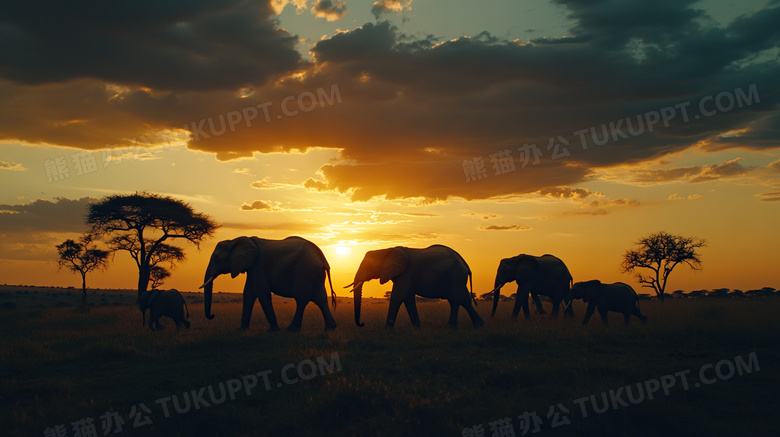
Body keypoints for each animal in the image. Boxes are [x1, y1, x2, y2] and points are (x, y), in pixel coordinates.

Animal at [200, 237, 336, 332]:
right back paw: (330, 328)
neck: (235, 240)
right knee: (320, 299)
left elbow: (262, 293)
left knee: (301, 299)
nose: (212, 315)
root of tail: (323, 260)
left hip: (305, 272)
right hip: (315, 275)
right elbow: (248, 294)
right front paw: (241, 330)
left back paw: (291, 329)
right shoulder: (253, 268)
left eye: (217, 259)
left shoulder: (259, 266)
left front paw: (273, 331)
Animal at [346, 244, 482, 328]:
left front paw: (387, 330)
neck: (386, 250)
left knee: (457, 299)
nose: (362, 324)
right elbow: (408, 299)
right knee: (461, 300)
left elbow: (398, 297)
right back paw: (476, 326)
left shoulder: (406, 273)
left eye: (368, 266)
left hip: (455, 277)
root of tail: (466, 264)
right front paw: (417, 328)